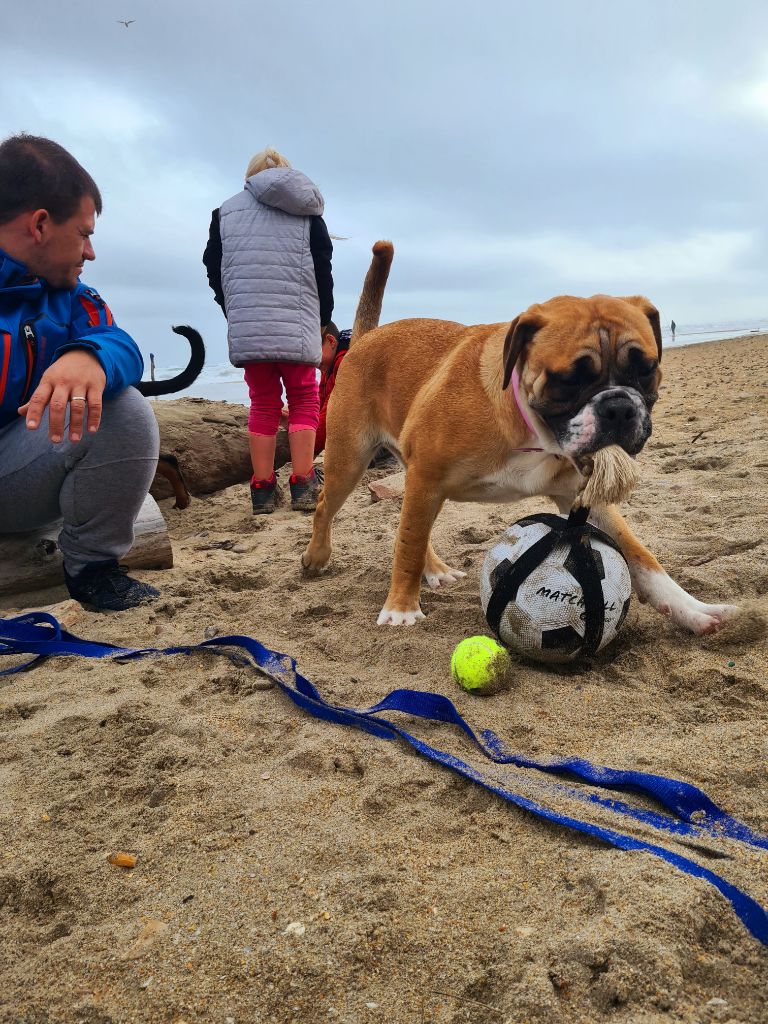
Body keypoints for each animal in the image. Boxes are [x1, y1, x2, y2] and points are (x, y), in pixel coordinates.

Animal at [303, 244, 737, 634]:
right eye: (568, 380)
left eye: (646, 370)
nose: (618, 407)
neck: (532, 429)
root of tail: (363, 340)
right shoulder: (427, 478)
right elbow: (407, 546)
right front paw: (401, 609)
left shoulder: (582, 498)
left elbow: (642, 557)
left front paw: (690, 609)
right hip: (352, 461)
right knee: (329, 507)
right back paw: (317, 556)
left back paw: (435, 570)